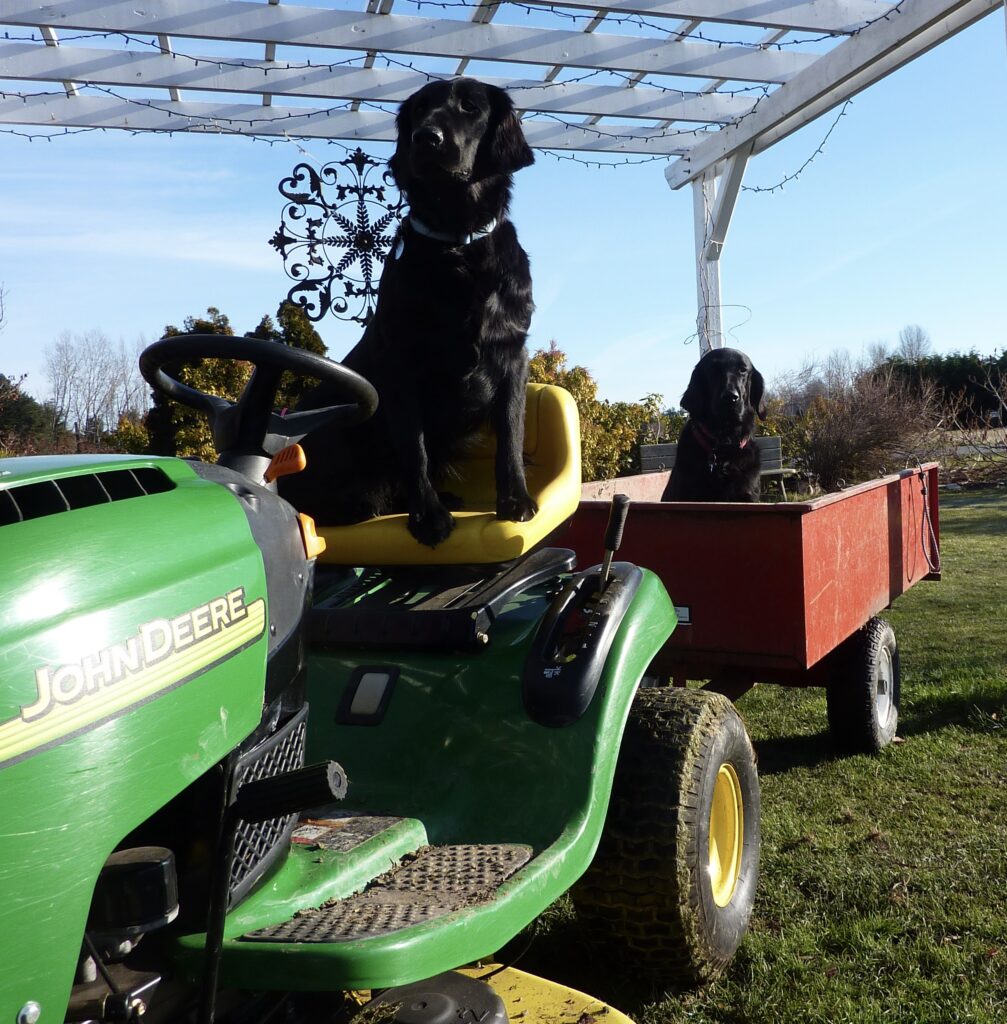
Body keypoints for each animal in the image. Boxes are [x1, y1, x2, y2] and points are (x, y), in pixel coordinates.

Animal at [278, 78, 540, 548]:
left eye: (470, 107)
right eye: (419, 111)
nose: (426, 139)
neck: (457, 244)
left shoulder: (513, 352)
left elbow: (512, 432)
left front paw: (516, 501)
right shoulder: (400, 364)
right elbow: (413, 448)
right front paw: (429, 517)